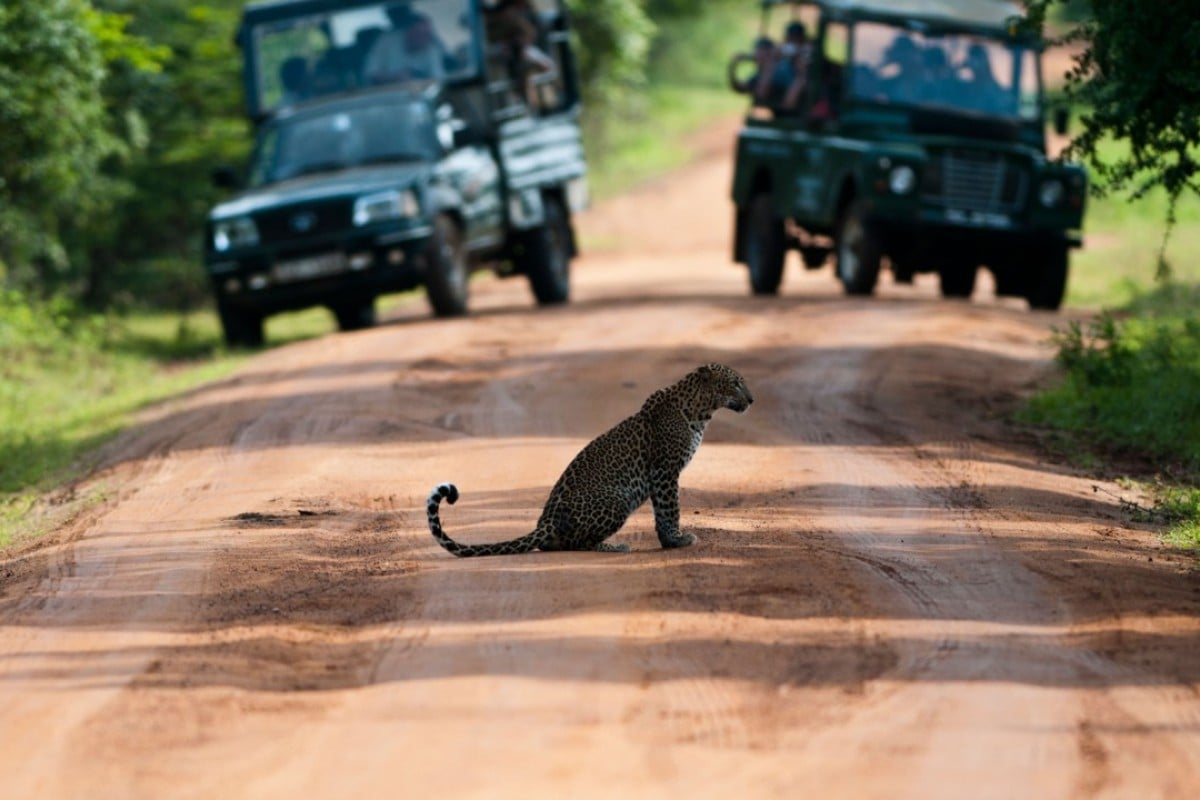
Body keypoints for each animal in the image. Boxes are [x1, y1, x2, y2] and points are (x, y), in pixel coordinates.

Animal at [427, 364, 753, 556]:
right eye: (736, 383)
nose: (752, 400)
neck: (701, 411)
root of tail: (545, 522)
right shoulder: (665, 471)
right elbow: (669, 508)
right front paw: (676, 540)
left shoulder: (663, 474)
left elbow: (663, 511)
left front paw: (668, 541)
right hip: (617, 499)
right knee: (577, 543)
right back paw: (613, 545)